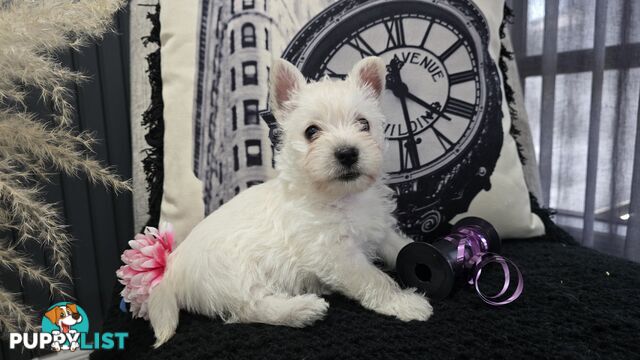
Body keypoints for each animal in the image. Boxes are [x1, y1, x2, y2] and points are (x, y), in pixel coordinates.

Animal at [148, 57, 432, 348]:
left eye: (364, 124)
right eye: (311, 131)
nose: (347, 153)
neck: (342, 196)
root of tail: (171, 269)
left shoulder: (381, 230)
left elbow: (401, 246)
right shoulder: (336, 254)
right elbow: (375, 278)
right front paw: (405, 302)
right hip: (233, 275)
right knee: (250, 307)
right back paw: (303, 309)